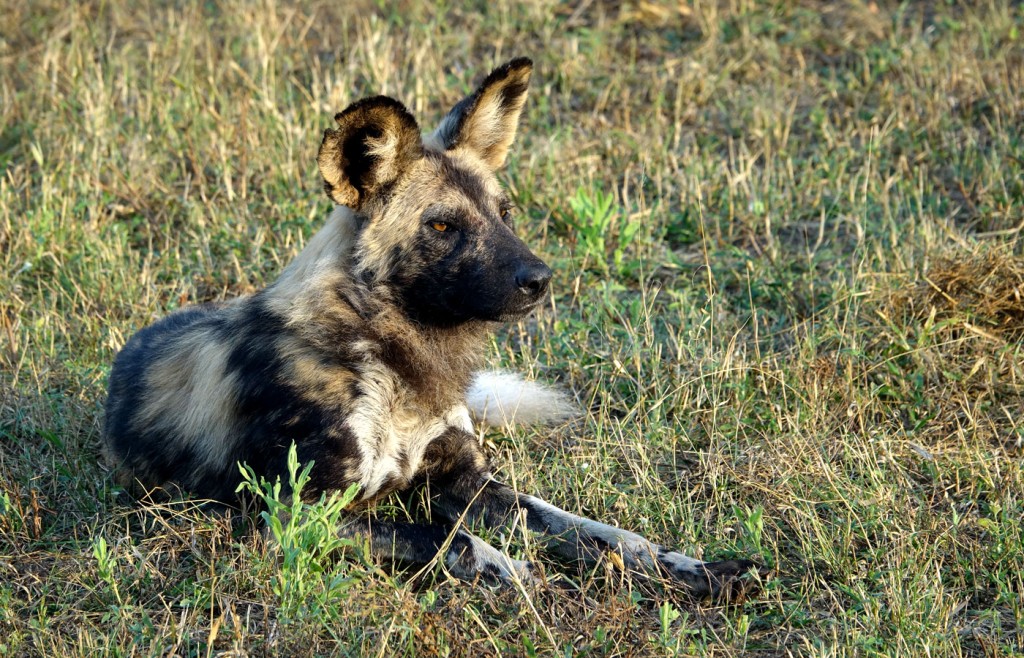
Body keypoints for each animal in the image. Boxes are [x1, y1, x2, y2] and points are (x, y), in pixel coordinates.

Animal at [103, 57, 757, 597]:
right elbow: (445, 538)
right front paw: (511, 570)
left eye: (505, 213)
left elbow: (597, 530)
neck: (397, 360)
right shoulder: (298, 515)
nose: (541, 279)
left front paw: (684, 566)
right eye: (442, 226)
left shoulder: (469, 484)